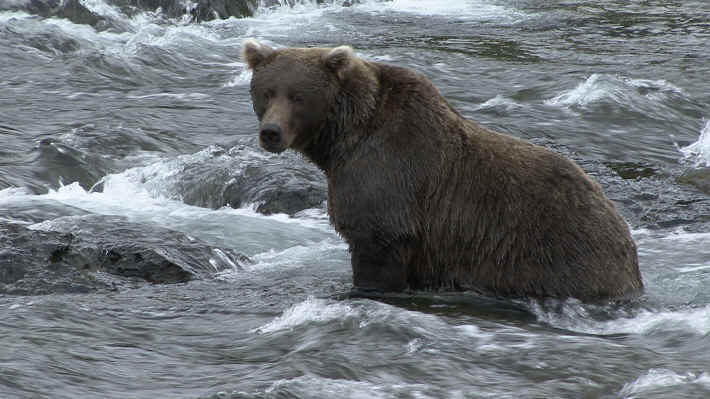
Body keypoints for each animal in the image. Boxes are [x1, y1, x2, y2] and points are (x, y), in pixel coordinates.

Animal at [243, 39, 644, 304]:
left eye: (298, 96)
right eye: (267, 91)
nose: (271, 132)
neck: (342, 140)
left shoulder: (388, 179)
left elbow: (376, 244)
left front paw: (365, 289)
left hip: (554, 252)